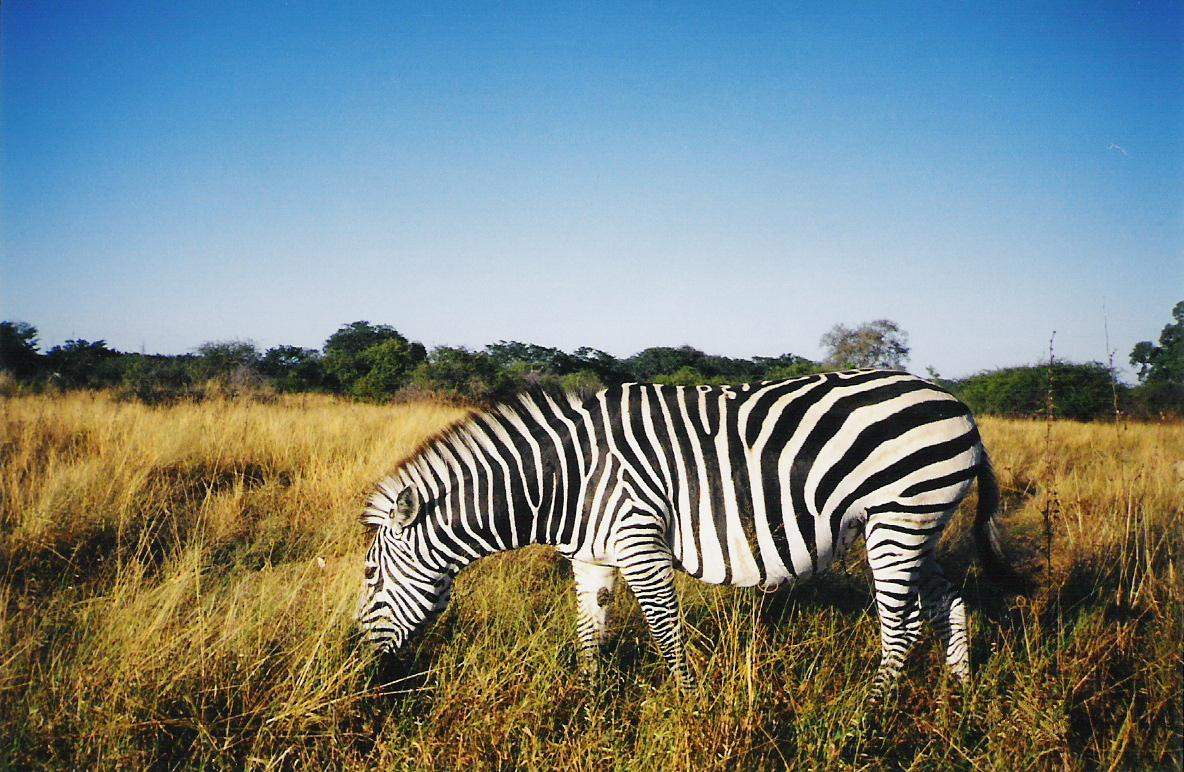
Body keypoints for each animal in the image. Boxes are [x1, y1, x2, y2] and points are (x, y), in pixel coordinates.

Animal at [357, 370, 1021, 700]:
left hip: (899, 517)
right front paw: (585, 703)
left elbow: (666, 633)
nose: (361, 666)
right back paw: (961, 695)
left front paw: (682, 706)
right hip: (915, 525)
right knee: (948, 601)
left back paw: (873, 710)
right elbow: (590, 633)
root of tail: (959, 404)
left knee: (903, 626)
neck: (564, 483)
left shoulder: (639, 541)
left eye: (371, 577)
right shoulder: (591, 559)